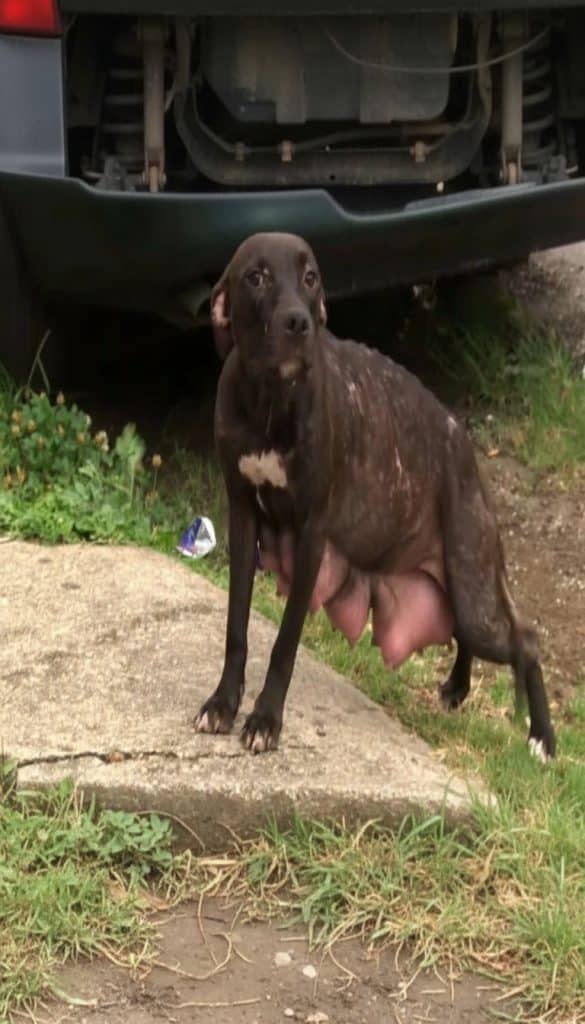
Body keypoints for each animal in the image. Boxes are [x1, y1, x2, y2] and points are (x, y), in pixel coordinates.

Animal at [195, 232, 556, 760]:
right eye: (255, 276)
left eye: (311, 277)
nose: (299, 321)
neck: (270, 401)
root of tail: (467, 453)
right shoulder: (242, 520)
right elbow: (235, 627)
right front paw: (223, 702)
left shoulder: (311, 536)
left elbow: (284, 643)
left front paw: (265, 719)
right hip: (457, 592)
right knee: (474, 637)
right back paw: (458, 687)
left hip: (474, 596)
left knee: (525, 642)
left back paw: (542, 738)